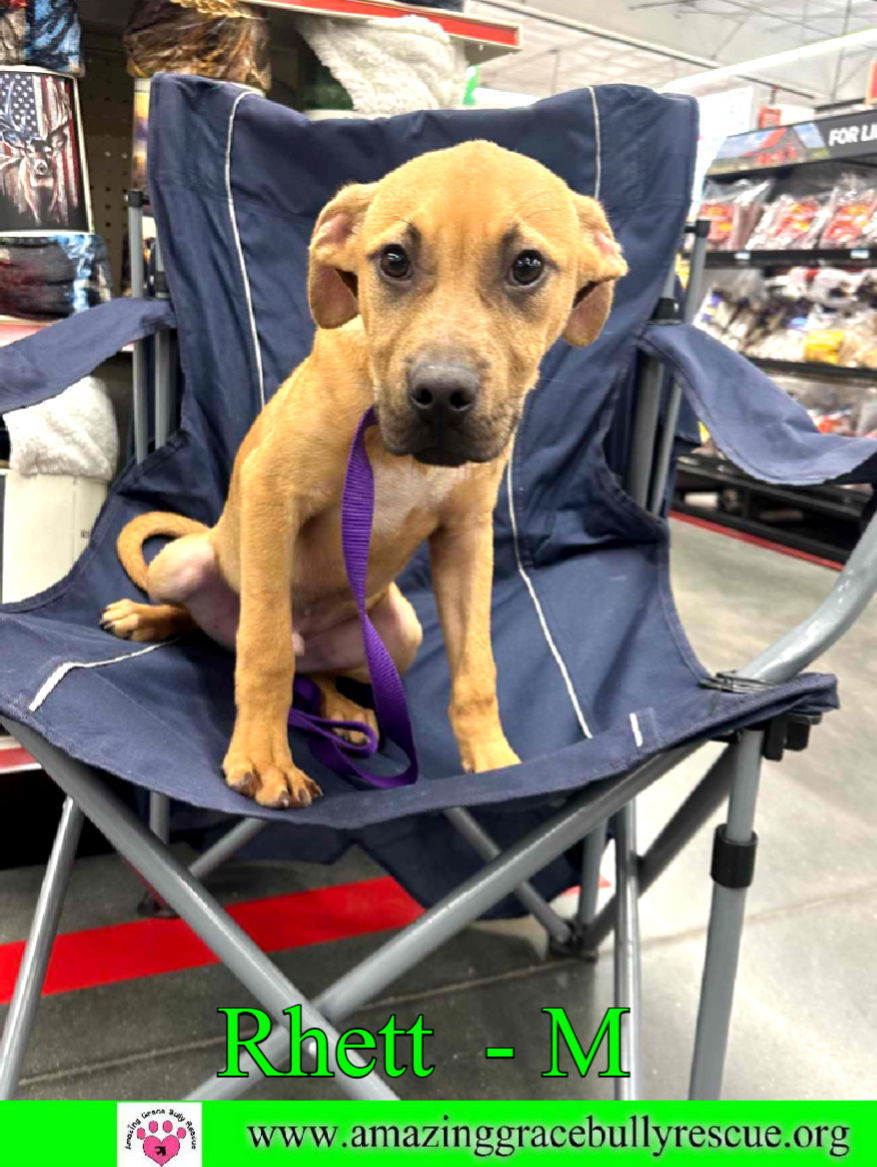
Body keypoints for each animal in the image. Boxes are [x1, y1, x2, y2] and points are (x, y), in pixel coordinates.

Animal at [101, 138, 625, 812]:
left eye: (527, 266)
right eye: (394, 261)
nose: (440, 395)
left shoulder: (466, 536)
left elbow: (477, 665)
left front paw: (494, 763)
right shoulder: (274, 495)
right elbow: (264, 645)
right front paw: (265, 756)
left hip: (400, 631)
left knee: (315, 669)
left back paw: (350, 712)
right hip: (185, 560)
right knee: (227, 630)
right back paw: (149, 618)